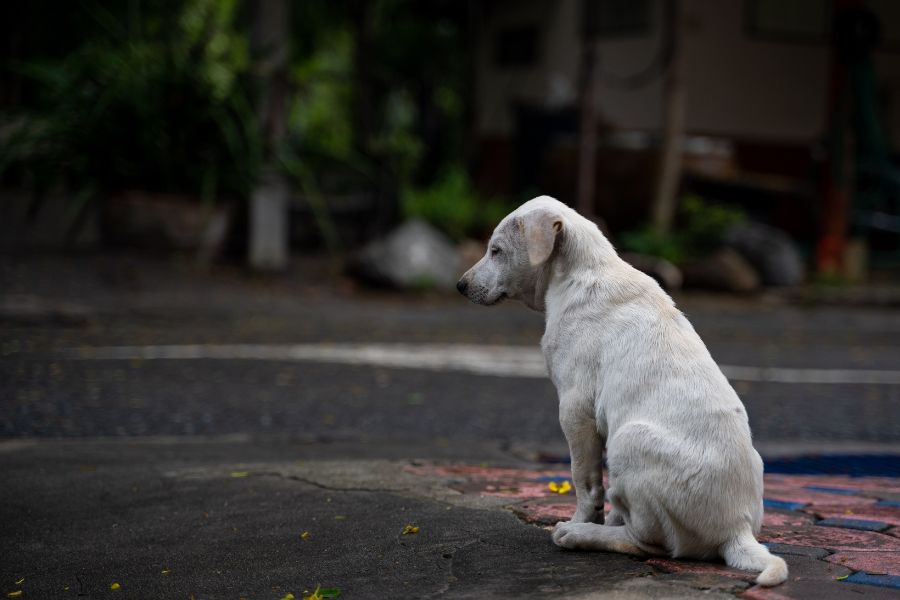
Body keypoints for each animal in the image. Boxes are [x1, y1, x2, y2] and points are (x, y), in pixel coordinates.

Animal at [458, 196, 788, 584]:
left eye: (496, 251)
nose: (460, 285)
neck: (582, 274)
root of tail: (736, 528)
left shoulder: (574, 408)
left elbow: (584, 480)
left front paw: (582, 519)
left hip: (628, 440)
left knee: (648, 543)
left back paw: (581, 534)